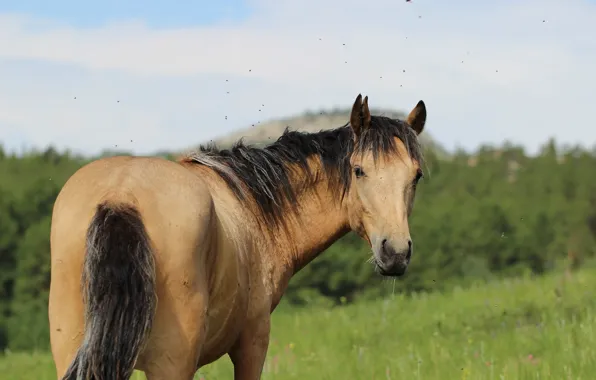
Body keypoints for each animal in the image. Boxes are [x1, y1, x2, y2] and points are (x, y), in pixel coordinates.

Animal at [49, 93, 426, 380]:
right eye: (359, 170)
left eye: (417, 176)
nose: (395, 252)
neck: (256, 204)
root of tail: (121, 196)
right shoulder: (252, 342)